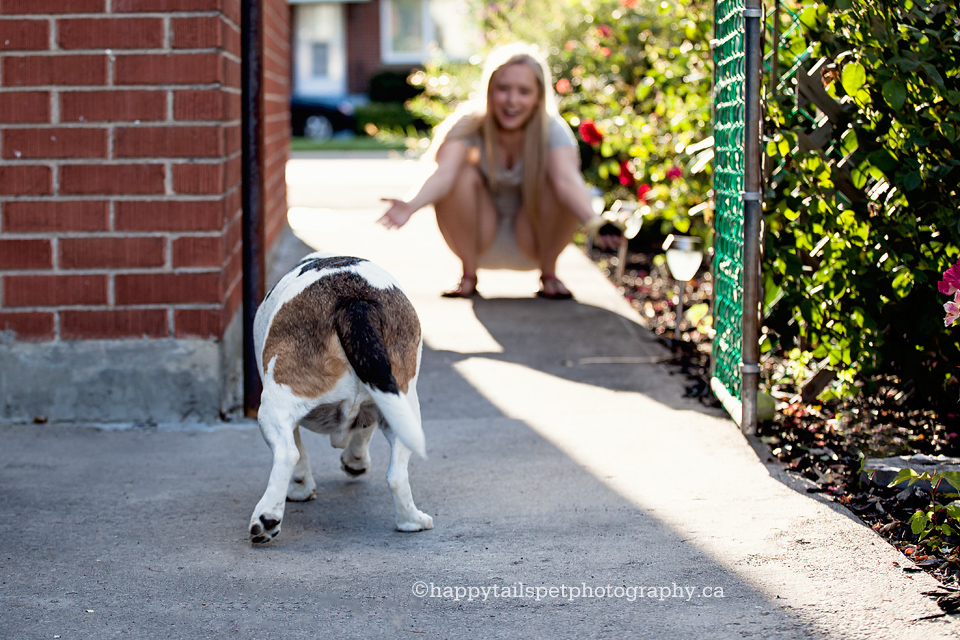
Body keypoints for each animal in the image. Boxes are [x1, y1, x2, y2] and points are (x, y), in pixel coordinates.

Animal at [248, 252, 432, 544]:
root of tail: (355, 300)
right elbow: (364, 431)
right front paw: (356, 460)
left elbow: (299, 451)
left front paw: (301, 486)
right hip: (404, 408)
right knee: (396, 475)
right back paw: (412, 521)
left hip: (275, 405)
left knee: (288, 454)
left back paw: (267, 518)